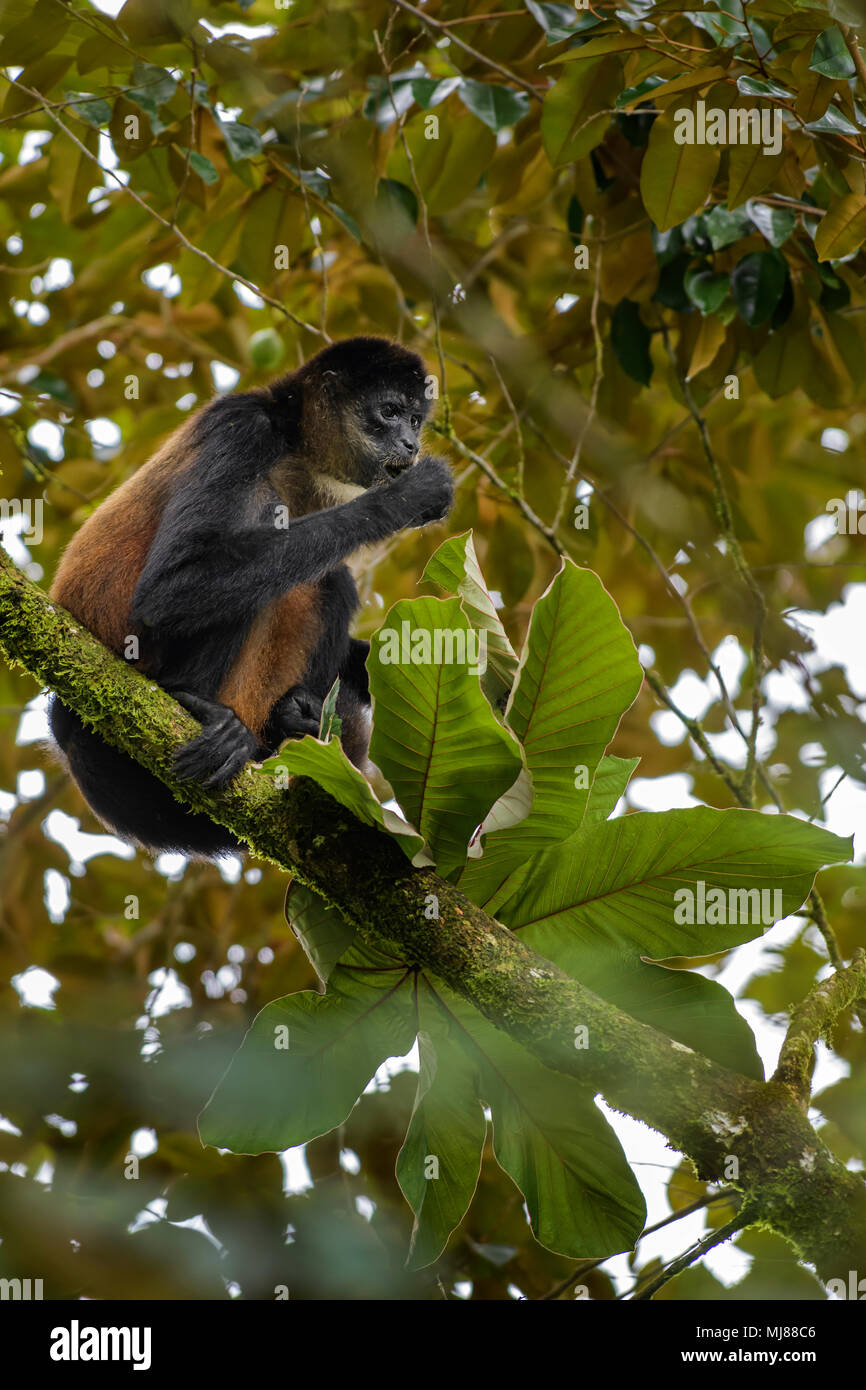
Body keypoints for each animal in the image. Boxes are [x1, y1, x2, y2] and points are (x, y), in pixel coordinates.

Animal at [48, 336, 453, 856]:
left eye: (416, 420)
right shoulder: (244, 427)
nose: (411, 444)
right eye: (389, 412)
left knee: (330, 580)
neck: (295, 449)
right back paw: (188, 701)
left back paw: (291, 725)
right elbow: (170, 590)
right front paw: (408, 497)